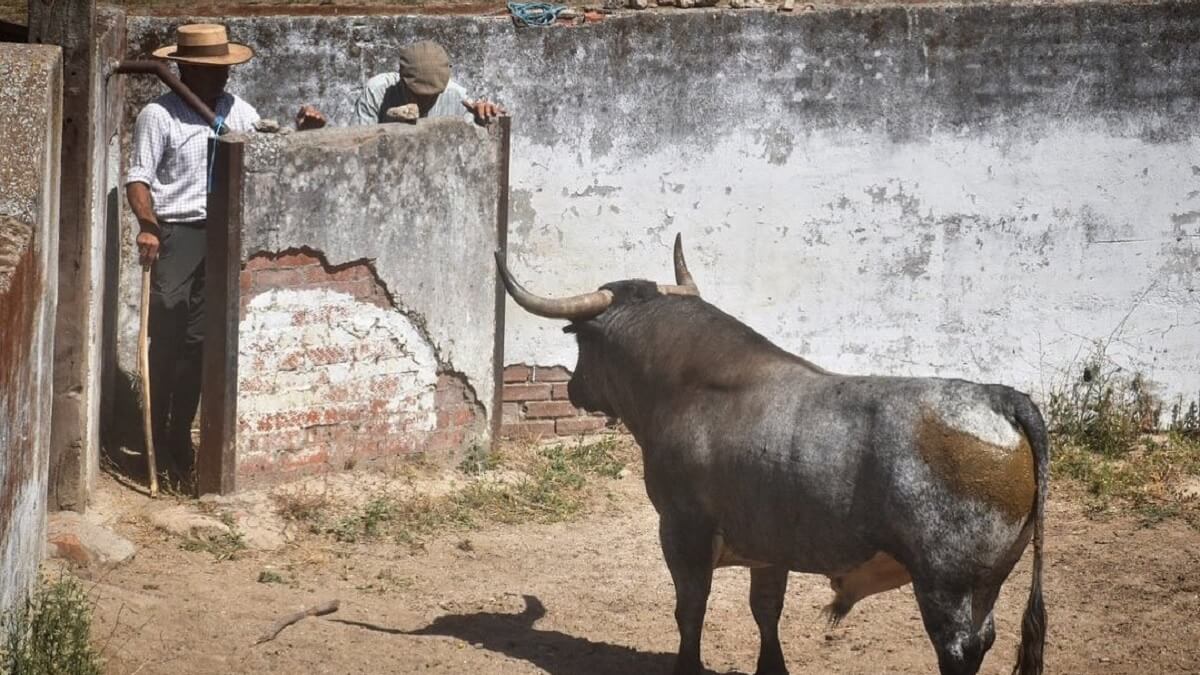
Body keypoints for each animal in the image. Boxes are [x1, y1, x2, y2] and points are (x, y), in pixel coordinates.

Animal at [492, 233, 1046, 672]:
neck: (689, 385)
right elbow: (765, 609)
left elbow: (690, 609)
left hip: (945, 584)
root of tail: (999, 398)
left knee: (957, 648)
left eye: (582, 344)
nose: (573, 389)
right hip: (987, 584)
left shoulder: (682, 530)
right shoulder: (771, 543)